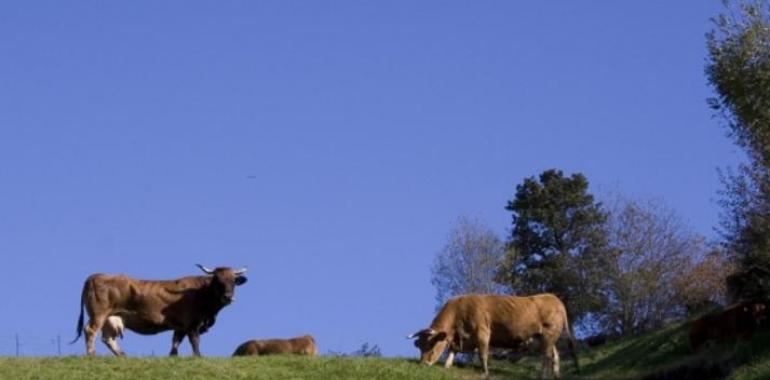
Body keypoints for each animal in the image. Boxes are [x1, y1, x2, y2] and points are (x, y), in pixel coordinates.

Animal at [71, 264, 248, 356]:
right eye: (217, 280)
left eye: (233, 281)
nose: (227, 296)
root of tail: (95, 275)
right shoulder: (192, 324)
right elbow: (195, 342)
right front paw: (198, 357)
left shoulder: (180, 327)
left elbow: (175, 344)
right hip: (99, 315)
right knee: (90, 331)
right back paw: (92, 355)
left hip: (112, 318)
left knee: (108, 339)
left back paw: (123, 356)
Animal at [408, 294, 576, 378]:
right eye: (419, 346)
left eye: (431, 345)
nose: (423, 363)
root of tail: (554, 298)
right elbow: (452, 351)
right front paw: (447, 366)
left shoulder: (482, 332)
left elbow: (483, 354)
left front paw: (485, 373)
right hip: (545, 337)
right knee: (555, 355)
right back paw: (556, 375)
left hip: (549, 334)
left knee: (546, 356)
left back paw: (543, 376)